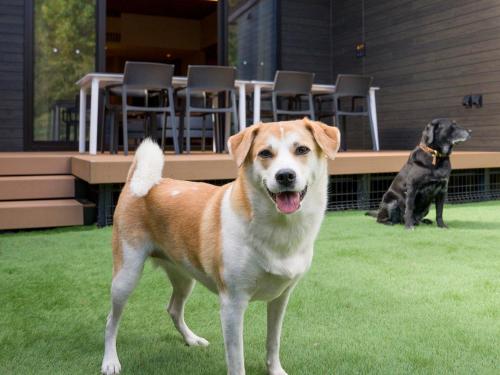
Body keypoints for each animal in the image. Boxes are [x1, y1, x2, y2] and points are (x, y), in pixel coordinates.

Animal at [98, 118, 340, 375]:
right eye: (265, 153)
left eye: (302, 149)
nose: (285, 175)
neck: (278, 228)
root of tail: (136, 183)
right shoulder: (232, 304)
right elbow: (236, 360)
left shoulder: (280, 297)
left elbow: (273, 340)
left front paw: (275, 370)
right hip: (126, 275)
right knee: (111, 321)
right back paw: (110, 361)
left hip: (183, 276)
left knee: (173, 308)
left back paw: (191, 339)